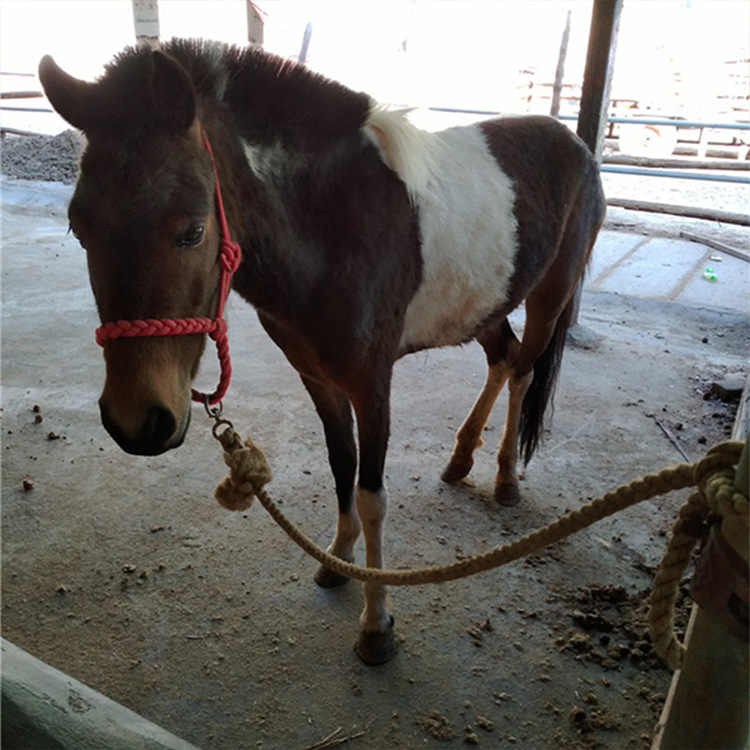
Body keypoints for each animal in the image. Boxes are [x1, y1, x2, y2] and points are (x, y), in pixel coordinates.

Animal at [39, 38, 605, 665]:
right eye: (78, 227)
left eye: (192, 231)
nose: (137, 422)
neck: (334, 227)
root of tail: (577, 145)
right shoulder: (318, 378)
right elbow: (341, 468)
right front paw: (337, 560)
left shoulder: (372, 383)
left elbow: (371, 494)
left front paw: (377, 623)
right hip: (486, 302)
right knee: (502, 358)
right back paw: (460, 461)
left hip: (549, 296)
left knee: (524, 369)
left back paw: (505, 478)